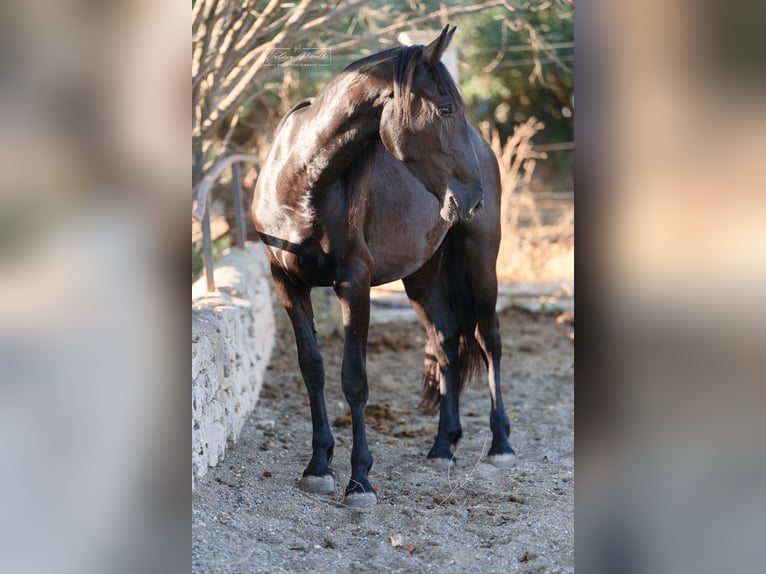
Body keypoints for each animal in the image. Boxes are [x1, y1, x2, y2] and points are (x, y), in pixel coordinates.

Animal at [252, 25, 514, 508]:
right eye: (444, 109)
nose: (472, 199)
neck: (301, 183)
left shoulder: (354, 283)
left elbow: (354, 379)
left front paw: (360, 480)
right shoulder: (287, 282)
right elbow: (312, 368)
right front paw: (318, 466)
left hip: (480, 262)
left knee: (490, 343)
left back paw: (501, 443)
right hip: (421, 278)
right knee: (446, 343)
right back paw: (443, 446)